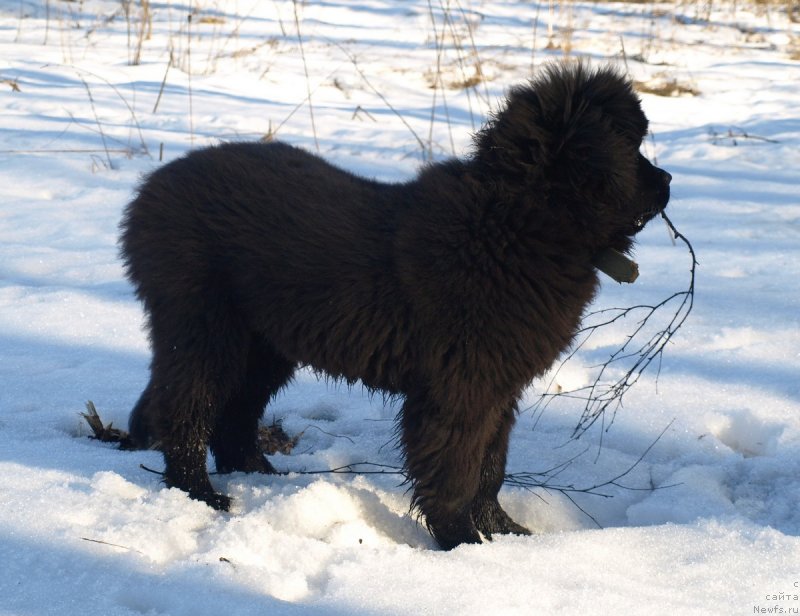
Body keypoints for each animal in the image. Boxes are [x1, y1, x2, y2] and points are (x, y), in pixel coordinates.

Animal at [119, 61, 668, 548]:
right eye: (631, 146)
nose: (666, 182)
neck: (519, 220)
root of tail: (148, 190)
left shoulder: (498, 387)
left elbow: (490, 468)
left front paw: (506, 533)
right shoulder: (460, 386)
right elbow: (456, 470)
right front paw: (462, 543)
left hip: (265, 343)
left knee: (232, 417)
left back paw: (265, 478)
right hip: (205, 326)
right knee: (187, 409)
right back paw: (200, 494)